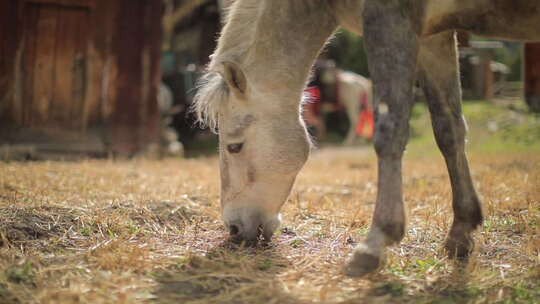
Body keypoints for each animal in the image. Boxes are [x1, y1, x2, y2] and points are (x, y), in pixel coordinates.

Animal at [193, 0, 540, 276]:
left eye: (234, 146)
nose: (234, 228)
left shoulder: (391, 21)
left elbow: (390, 131)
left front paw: (375, 242)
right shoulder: (433, 36)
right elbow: (449, 130)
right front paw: (461, 232)